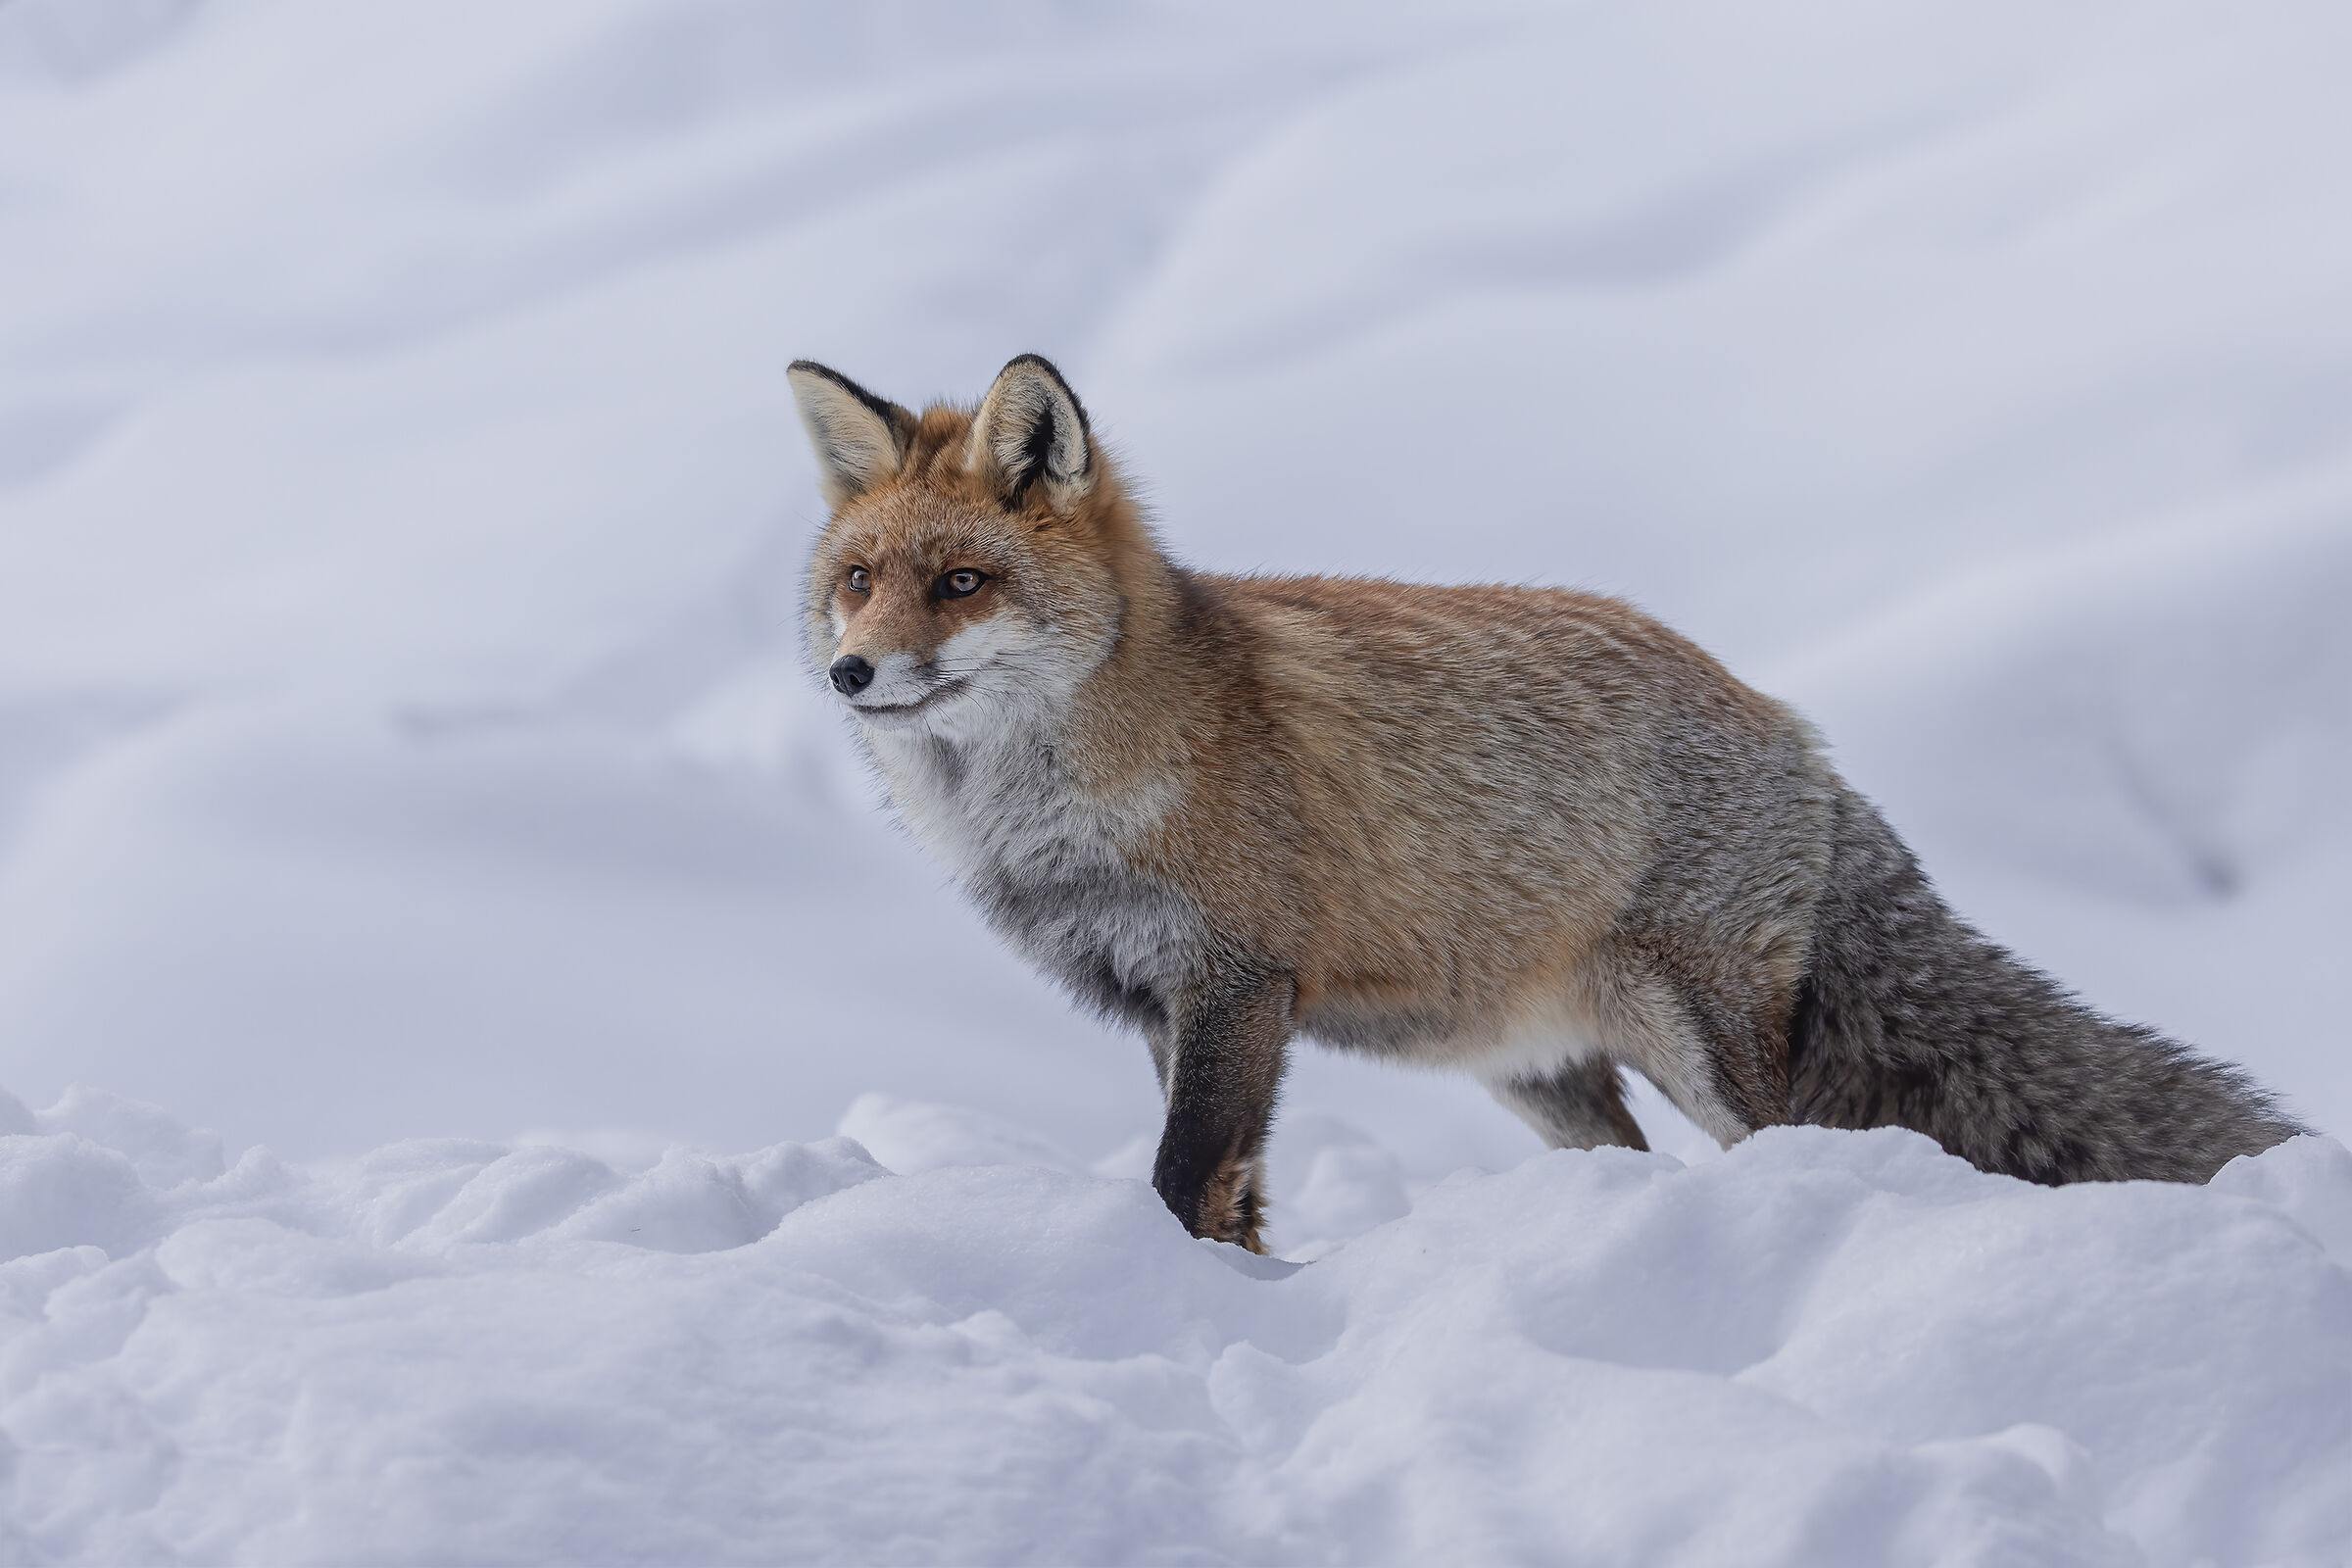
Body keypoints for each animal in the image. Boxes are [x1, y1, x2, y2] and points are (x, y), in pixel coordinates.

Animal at [788, 352, 2302, 1253]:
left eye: (963, 583)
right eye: (858, 580)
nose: (848, 672)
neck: (1065, 799)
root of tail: (1793, 726)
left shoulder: (1236, 981)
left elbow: (1184, 1179)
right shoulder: (1164, 1003)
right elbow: (1229, 1195)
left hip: (1700, 1042)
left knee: (1793, 1143)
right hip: (1541, 1075)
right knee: (1632, 1160)